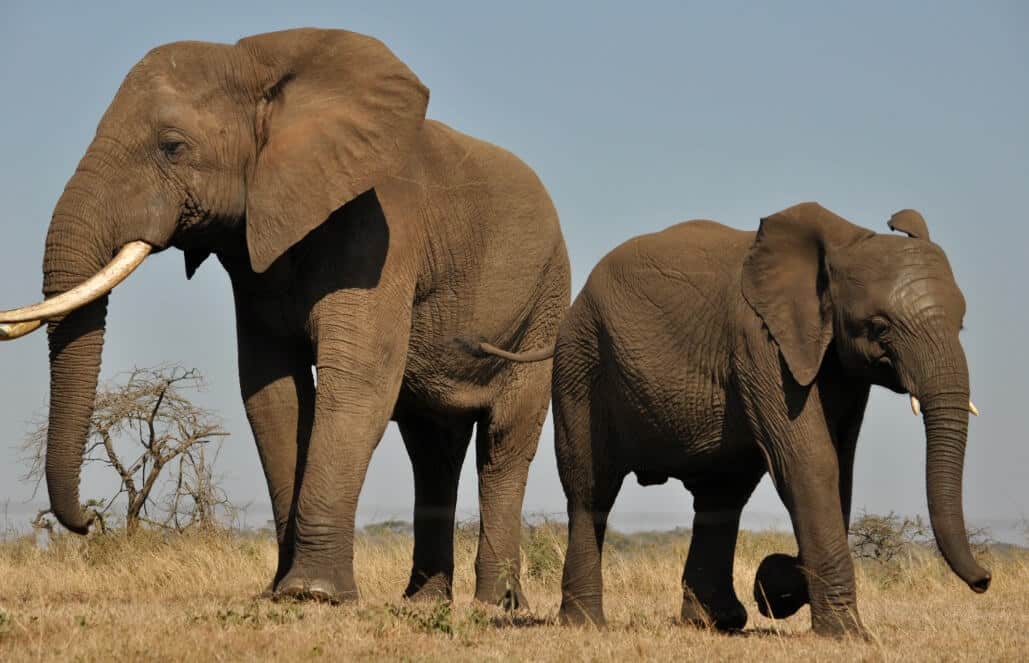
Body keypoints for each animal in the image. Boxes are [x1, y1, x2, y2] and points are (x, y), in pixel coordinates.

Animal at [0, 28, 570, 608]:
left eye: (172, 146)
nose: (90, 522)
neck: (261, 68)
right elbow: (272, 391)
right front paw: (280, 591)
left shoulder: (380, 230)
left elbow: (358, 380)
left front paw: (314, 594)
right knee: (432, 448)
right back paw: (424, 602)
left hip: (545, 301)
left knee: (504, 442)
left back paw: (495, 604)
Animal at [539, 202, 988, 636]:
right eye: (880, 326)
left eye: (962, 323)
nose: (984, 580)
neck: (844, 243)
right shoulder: (760, 341)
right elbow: (810, 463)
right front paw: (845, 631)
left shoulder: (839, 363)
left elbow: (840, 467)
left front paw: (780, 584)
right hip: (580, 362)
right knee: (590, 490)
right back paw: (586, 623)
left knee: (721, 496)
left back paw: (714, 622)